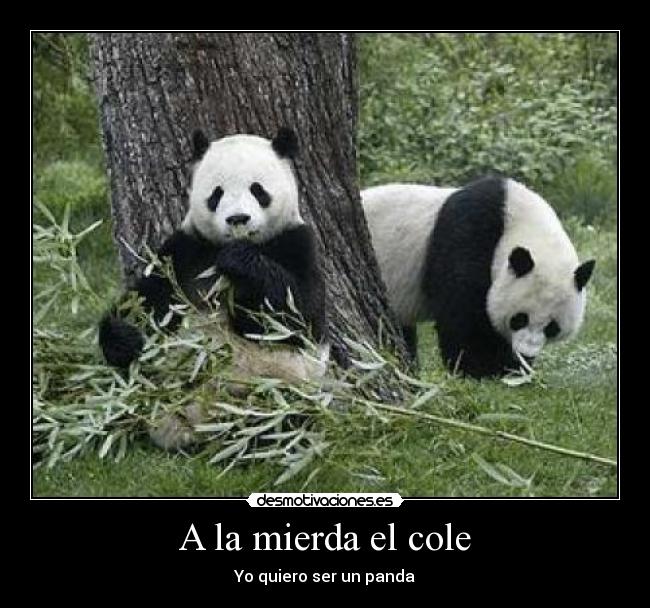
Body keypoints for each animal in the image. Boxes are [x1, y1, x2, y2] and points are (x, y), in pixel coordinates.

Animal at [99, 127, 328, 447]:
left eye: (258, 190)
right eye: (216, 194)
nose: (238, 219)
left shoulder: (297, 242)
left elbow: (299, 317)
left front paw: (240, 263)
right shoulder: (184, 251)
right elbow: (146, 299)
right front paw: (124, 336)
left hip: (277, 388)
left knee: (281, 419)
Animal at [362, 176, 595, 379]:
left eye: (552, 327)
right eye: (520, 318)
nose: (526, 352)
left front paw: (514, 368)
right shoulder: (469, 234)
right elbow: (463, 312)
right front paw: (482, 369)